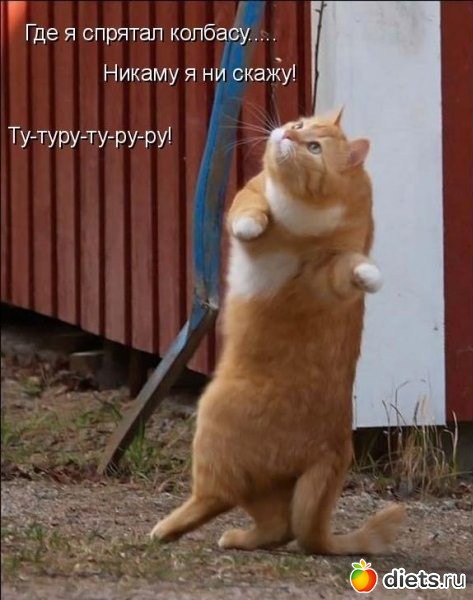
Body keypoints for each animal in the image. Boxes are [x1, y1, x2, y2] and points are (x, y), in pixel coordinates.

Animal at [150, 107, 406, 554]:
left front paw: (369, 275)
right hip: (266, 487)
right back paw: (237, 537)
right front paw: (252, 225)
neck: (297, 211)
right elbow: (249, 205)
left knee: (216, 497)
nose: (286, 133)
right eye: (301, 125)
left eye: (314, 147)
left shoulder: (324, 272)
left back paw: (167, 529)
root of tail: (332, 446)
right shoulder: (251, 190)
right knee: (278, 526)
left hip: (214, 419)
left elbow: (348, 266)